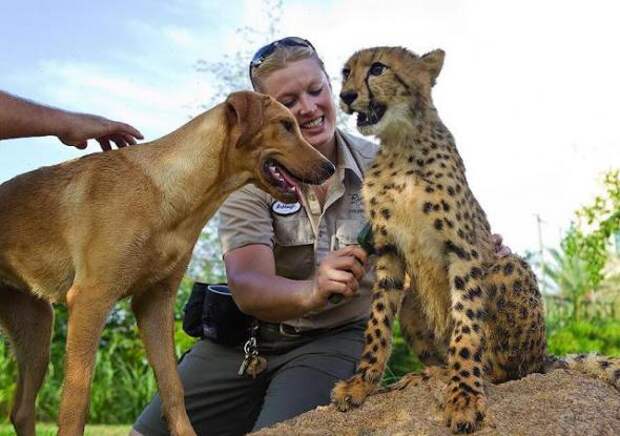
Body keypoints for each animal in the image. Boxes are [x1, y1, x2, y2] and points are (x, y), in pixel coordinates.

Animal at [0, 90, 334, 434]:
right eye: (286, 125)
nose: (330, 168)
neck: (168, 192)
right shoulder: (91, 300)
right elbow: (76, 402)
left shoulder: (154, 303)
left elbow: (173, 388)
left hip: (36, 330)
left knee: (21, 410)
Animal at [330, 46, 620, 434]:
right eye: (346, 72)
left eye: (378, 69)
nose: (346, 96)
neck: (400, 142)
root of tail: (544, 356)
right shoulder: (389, 249)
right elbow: (377, 324)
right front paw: (361, 383)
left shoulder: (462, 249)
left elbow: (466, 327)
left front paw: (464, 398)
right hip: (412, 301)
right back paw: (426, 374)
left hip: (506, 267)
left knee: (509, 370)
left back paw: (462, 374)